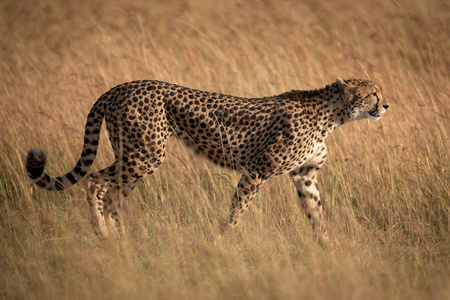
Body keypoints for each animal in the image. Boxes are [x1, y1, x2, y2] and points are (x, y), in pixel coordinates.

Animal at [26, 78, 388, 239]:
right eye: (372, 93)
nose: (386, 105)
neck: (332, 115)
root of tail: (122, 86)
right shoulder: (257, 171)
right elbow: (237, 210)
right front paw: (223, 239)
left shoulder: (304, 176)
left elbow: (316, 214)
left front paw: (327, 249)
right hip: (145, 155)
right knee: (97, 183)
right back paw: (107, 234)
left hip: (132, 154)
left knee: (108, 189)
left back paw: (114, 236)